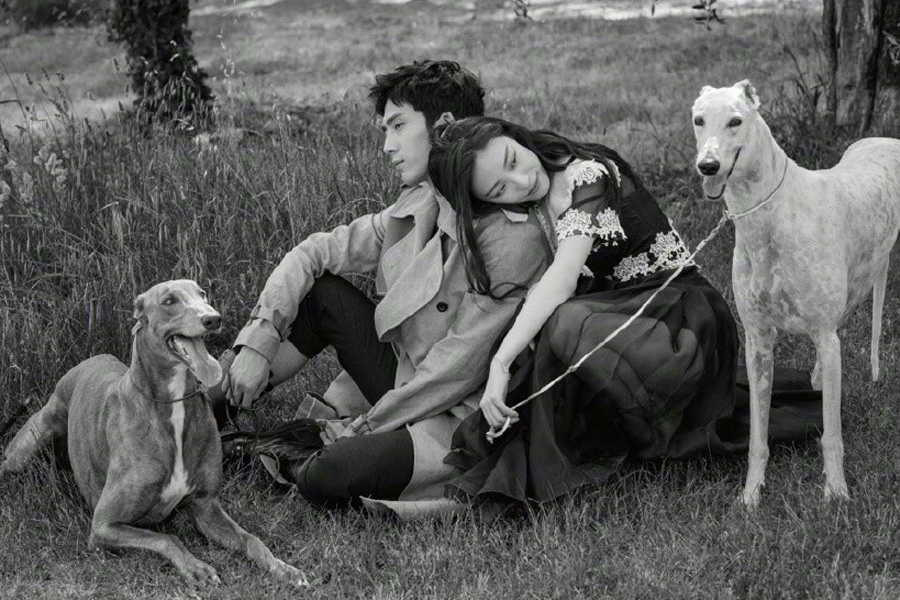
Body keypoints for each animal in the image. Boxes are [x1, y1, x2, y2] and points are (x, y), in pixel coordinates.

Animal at [692, 79, 900, 506]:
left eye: (736, 121)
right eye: (698, 120)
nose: (708, 166)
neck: (771, 217)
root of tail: (887, 138)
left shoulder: (824, 334)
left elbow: (833, 436)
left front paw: (836, 493)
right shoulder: (757, 342)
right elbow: (757, 437)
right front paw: (751, 494)